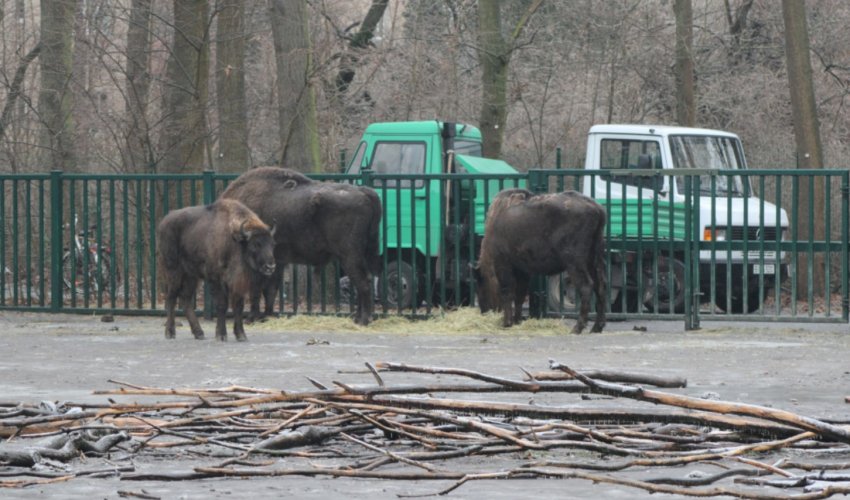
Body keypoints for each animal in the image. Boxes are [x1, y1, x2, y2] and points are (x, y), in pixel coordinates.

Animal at [157, 199, 276, 341]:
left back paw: (199, 333)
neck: (234, 240)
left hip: (191, 276)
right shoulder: (216, 279)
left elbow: (238, 306)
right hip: (173, 272)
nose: (270, 266)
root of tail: (164, 222)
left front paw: (241, 335)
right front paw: (221, 334)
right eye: (255, 244)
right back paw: (170, 332)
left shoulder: (237, 283)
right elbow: (222, 305)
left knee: (185, 299)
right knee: (171, 297)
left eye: (272, 244)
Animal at [221, 167, 382, 325]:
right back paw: (357, 318)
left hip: (349, 256)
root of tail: (364, 192)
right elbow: (270, 290)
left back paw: (363, 320)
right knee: (363, 282)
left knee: (363, 282)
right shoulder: (277, 263)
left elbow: (258, 290)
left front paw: (252, 318)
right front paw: (266, 315)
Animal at [474, 188, 607, 334]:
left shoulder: (504, 264)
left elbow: (507, 292)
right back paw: (596, 327)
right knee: (600, 287)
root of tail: (597, 208)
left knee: (586, 286)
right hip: (593, 260)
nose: (483, 311)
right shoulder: (523, 270)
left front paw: (507, 323)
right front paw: (517, 321)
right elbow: (519, 295)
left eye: (480, 285)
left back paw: (577, 328)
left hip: (574, 262)